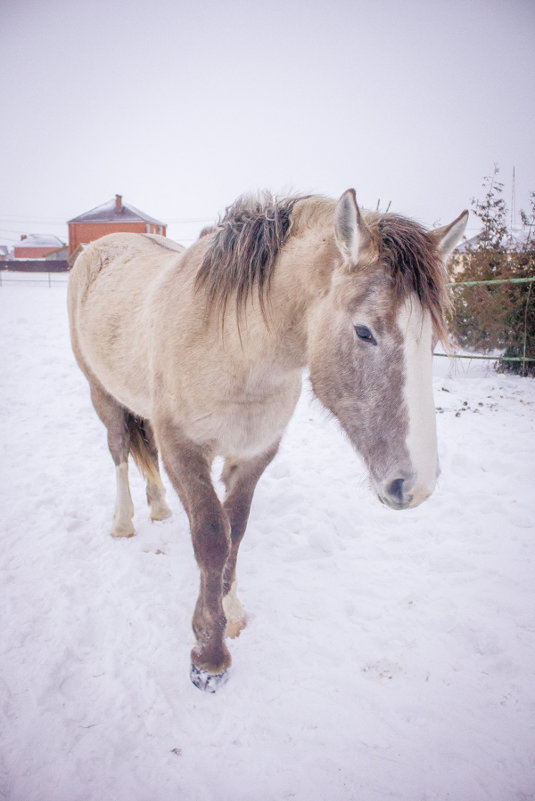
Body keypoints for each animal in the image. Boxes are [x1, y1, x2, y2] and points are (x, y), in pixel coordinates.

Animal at [68, 191, 468, 692]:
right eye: (364, 331)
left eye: (429, 340)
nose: (417, 487)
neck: (232, 347)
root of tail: (99, 248)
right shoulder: (184, 449)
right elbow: (212, 537)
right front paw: (209, 657)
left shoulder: (256, 451)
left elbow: (235, 530)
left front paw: (232, 612)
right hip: (100, 393)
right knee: (120, 449)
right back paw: (123, 522)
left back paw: (158, 506)